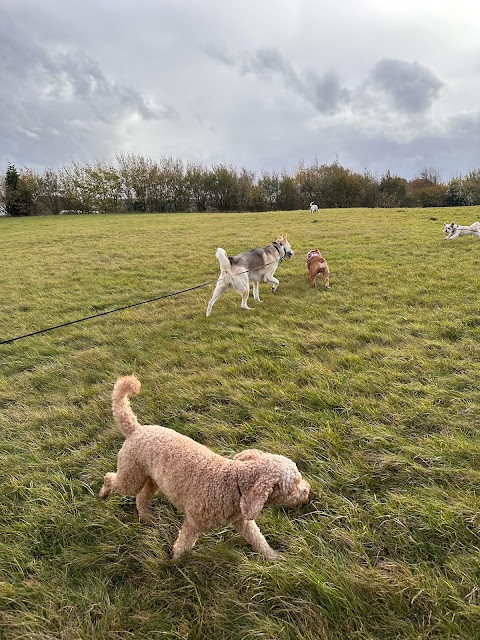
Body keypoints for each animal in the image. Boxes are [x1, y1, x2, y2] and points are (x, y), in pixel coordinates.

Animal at [101, 376, 312, 560]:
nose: (308, 490)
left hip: (152, 479)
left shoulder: (242, 521)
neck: (234, 485)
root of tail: (136, 429)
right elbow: (183, 546)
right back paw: (103, 493)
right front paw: (173, 564)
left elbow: (258, 540)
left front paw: (274, 557)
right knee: (111, 479)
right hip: (131, 475)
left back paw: (147, 519)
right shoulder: (193, 524)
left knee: (141, 497)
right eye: (294, 484)